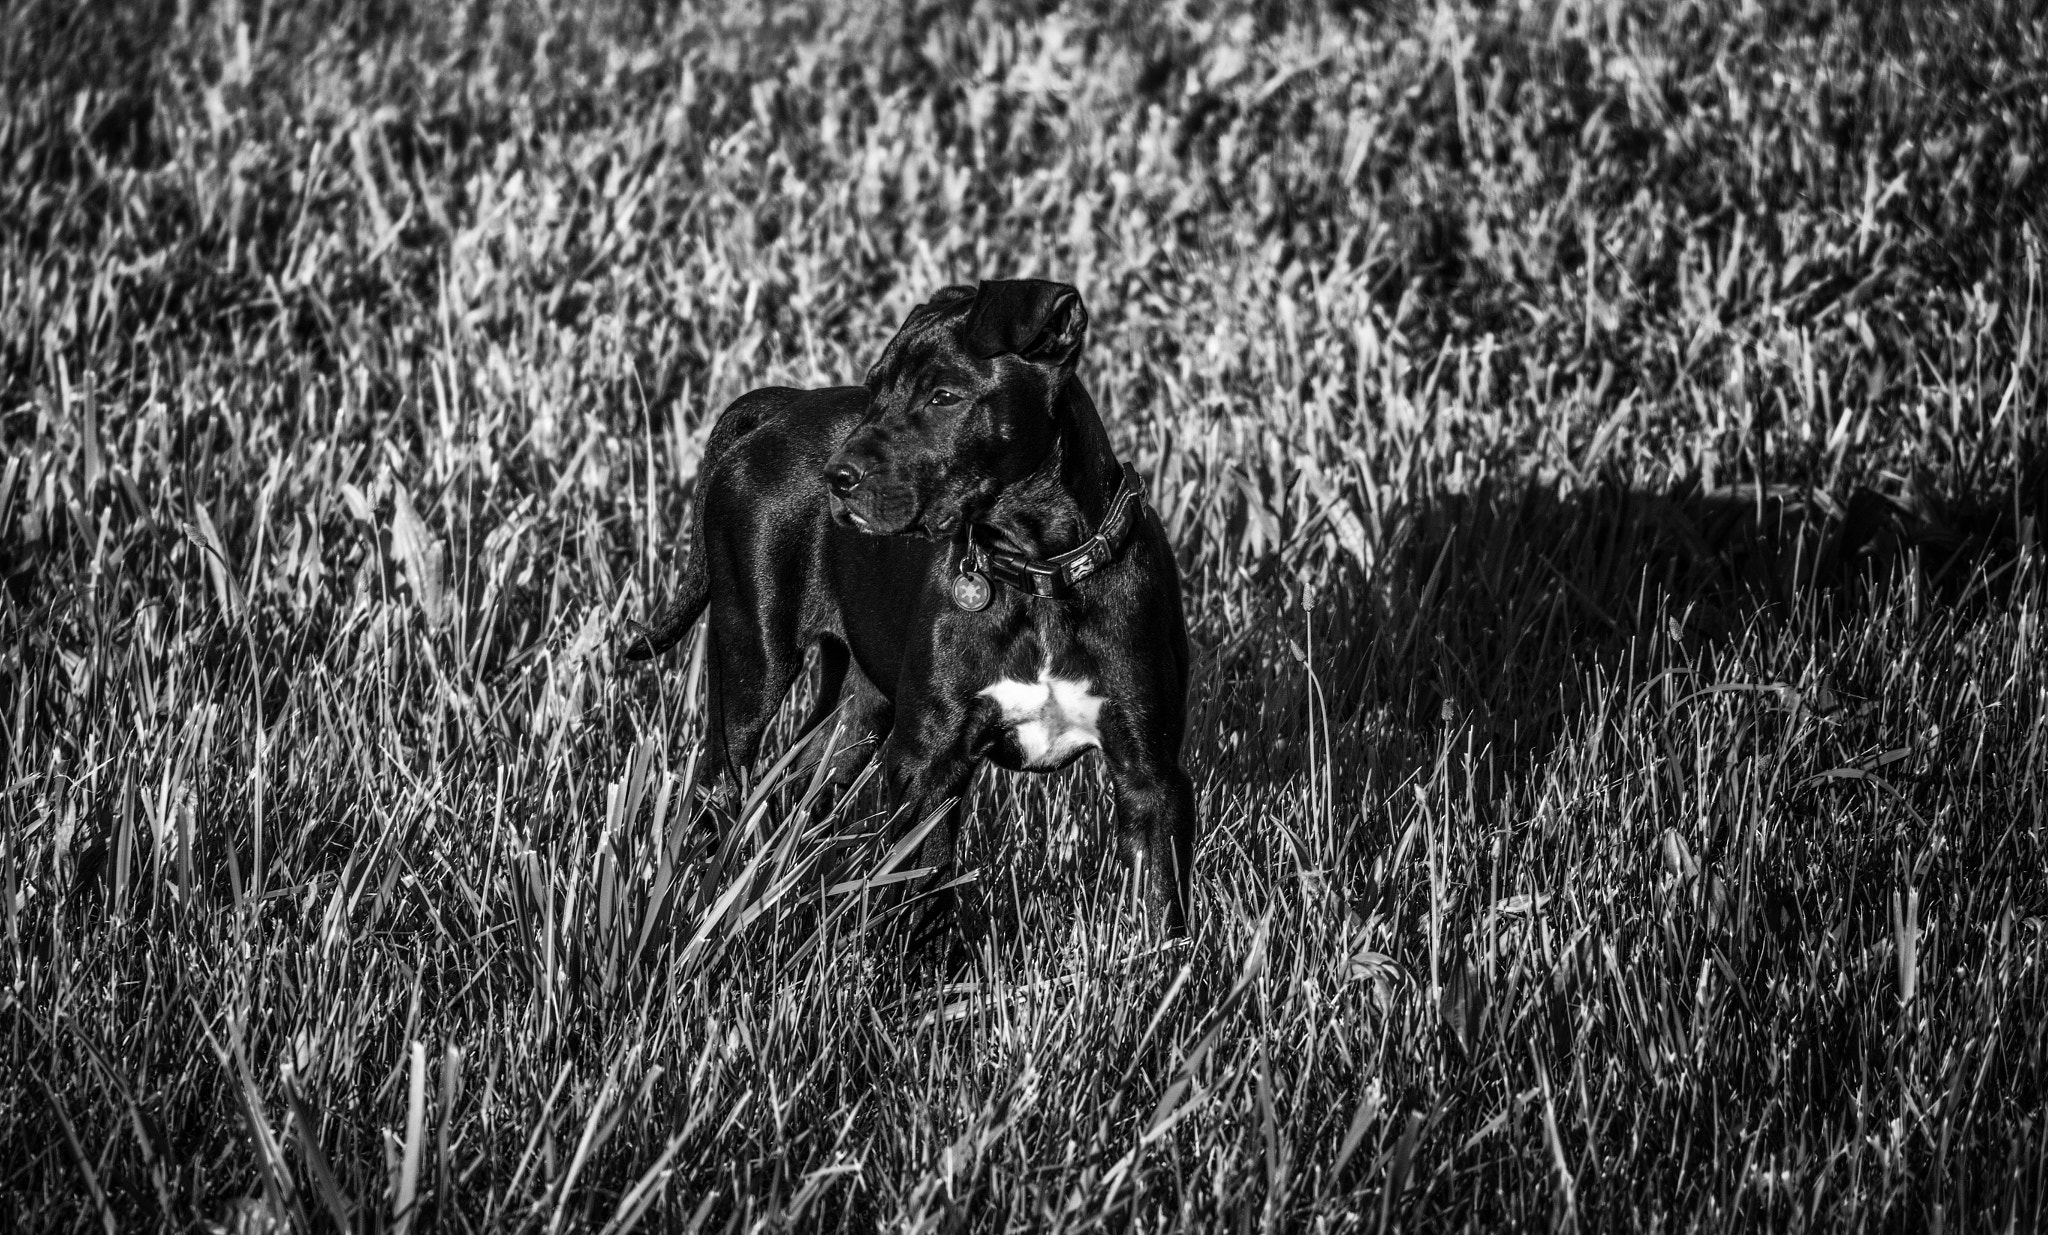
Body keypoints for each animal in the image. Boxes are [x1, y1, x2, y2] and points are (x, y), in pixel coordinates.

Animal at [626, 280, 1196, 933]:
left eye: (944, 396)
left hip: (860, 701)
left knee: (801, 780)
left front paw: (1159, 960)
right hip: (751, 656)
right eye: (875, 390)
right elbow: (924, 887)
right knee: (720, 777)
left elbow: (1160, 903)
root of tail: (778, 409)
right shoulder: (928, 762)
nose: (837, 477)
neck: (1038, 572)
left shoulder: (1150, 773)